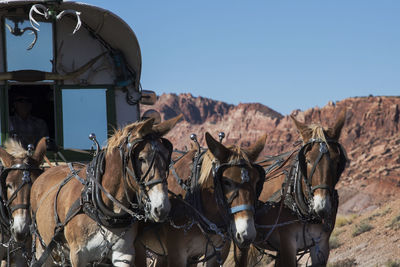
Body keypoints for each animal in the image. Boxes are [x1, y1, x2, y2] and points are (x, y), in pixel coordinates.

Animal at [29, 116, 181, 267]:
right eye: (141, 158)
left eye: (167, 157)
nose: (161, 208)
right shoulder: (78, 255)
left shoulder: (123, 254)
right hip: (43, 249)